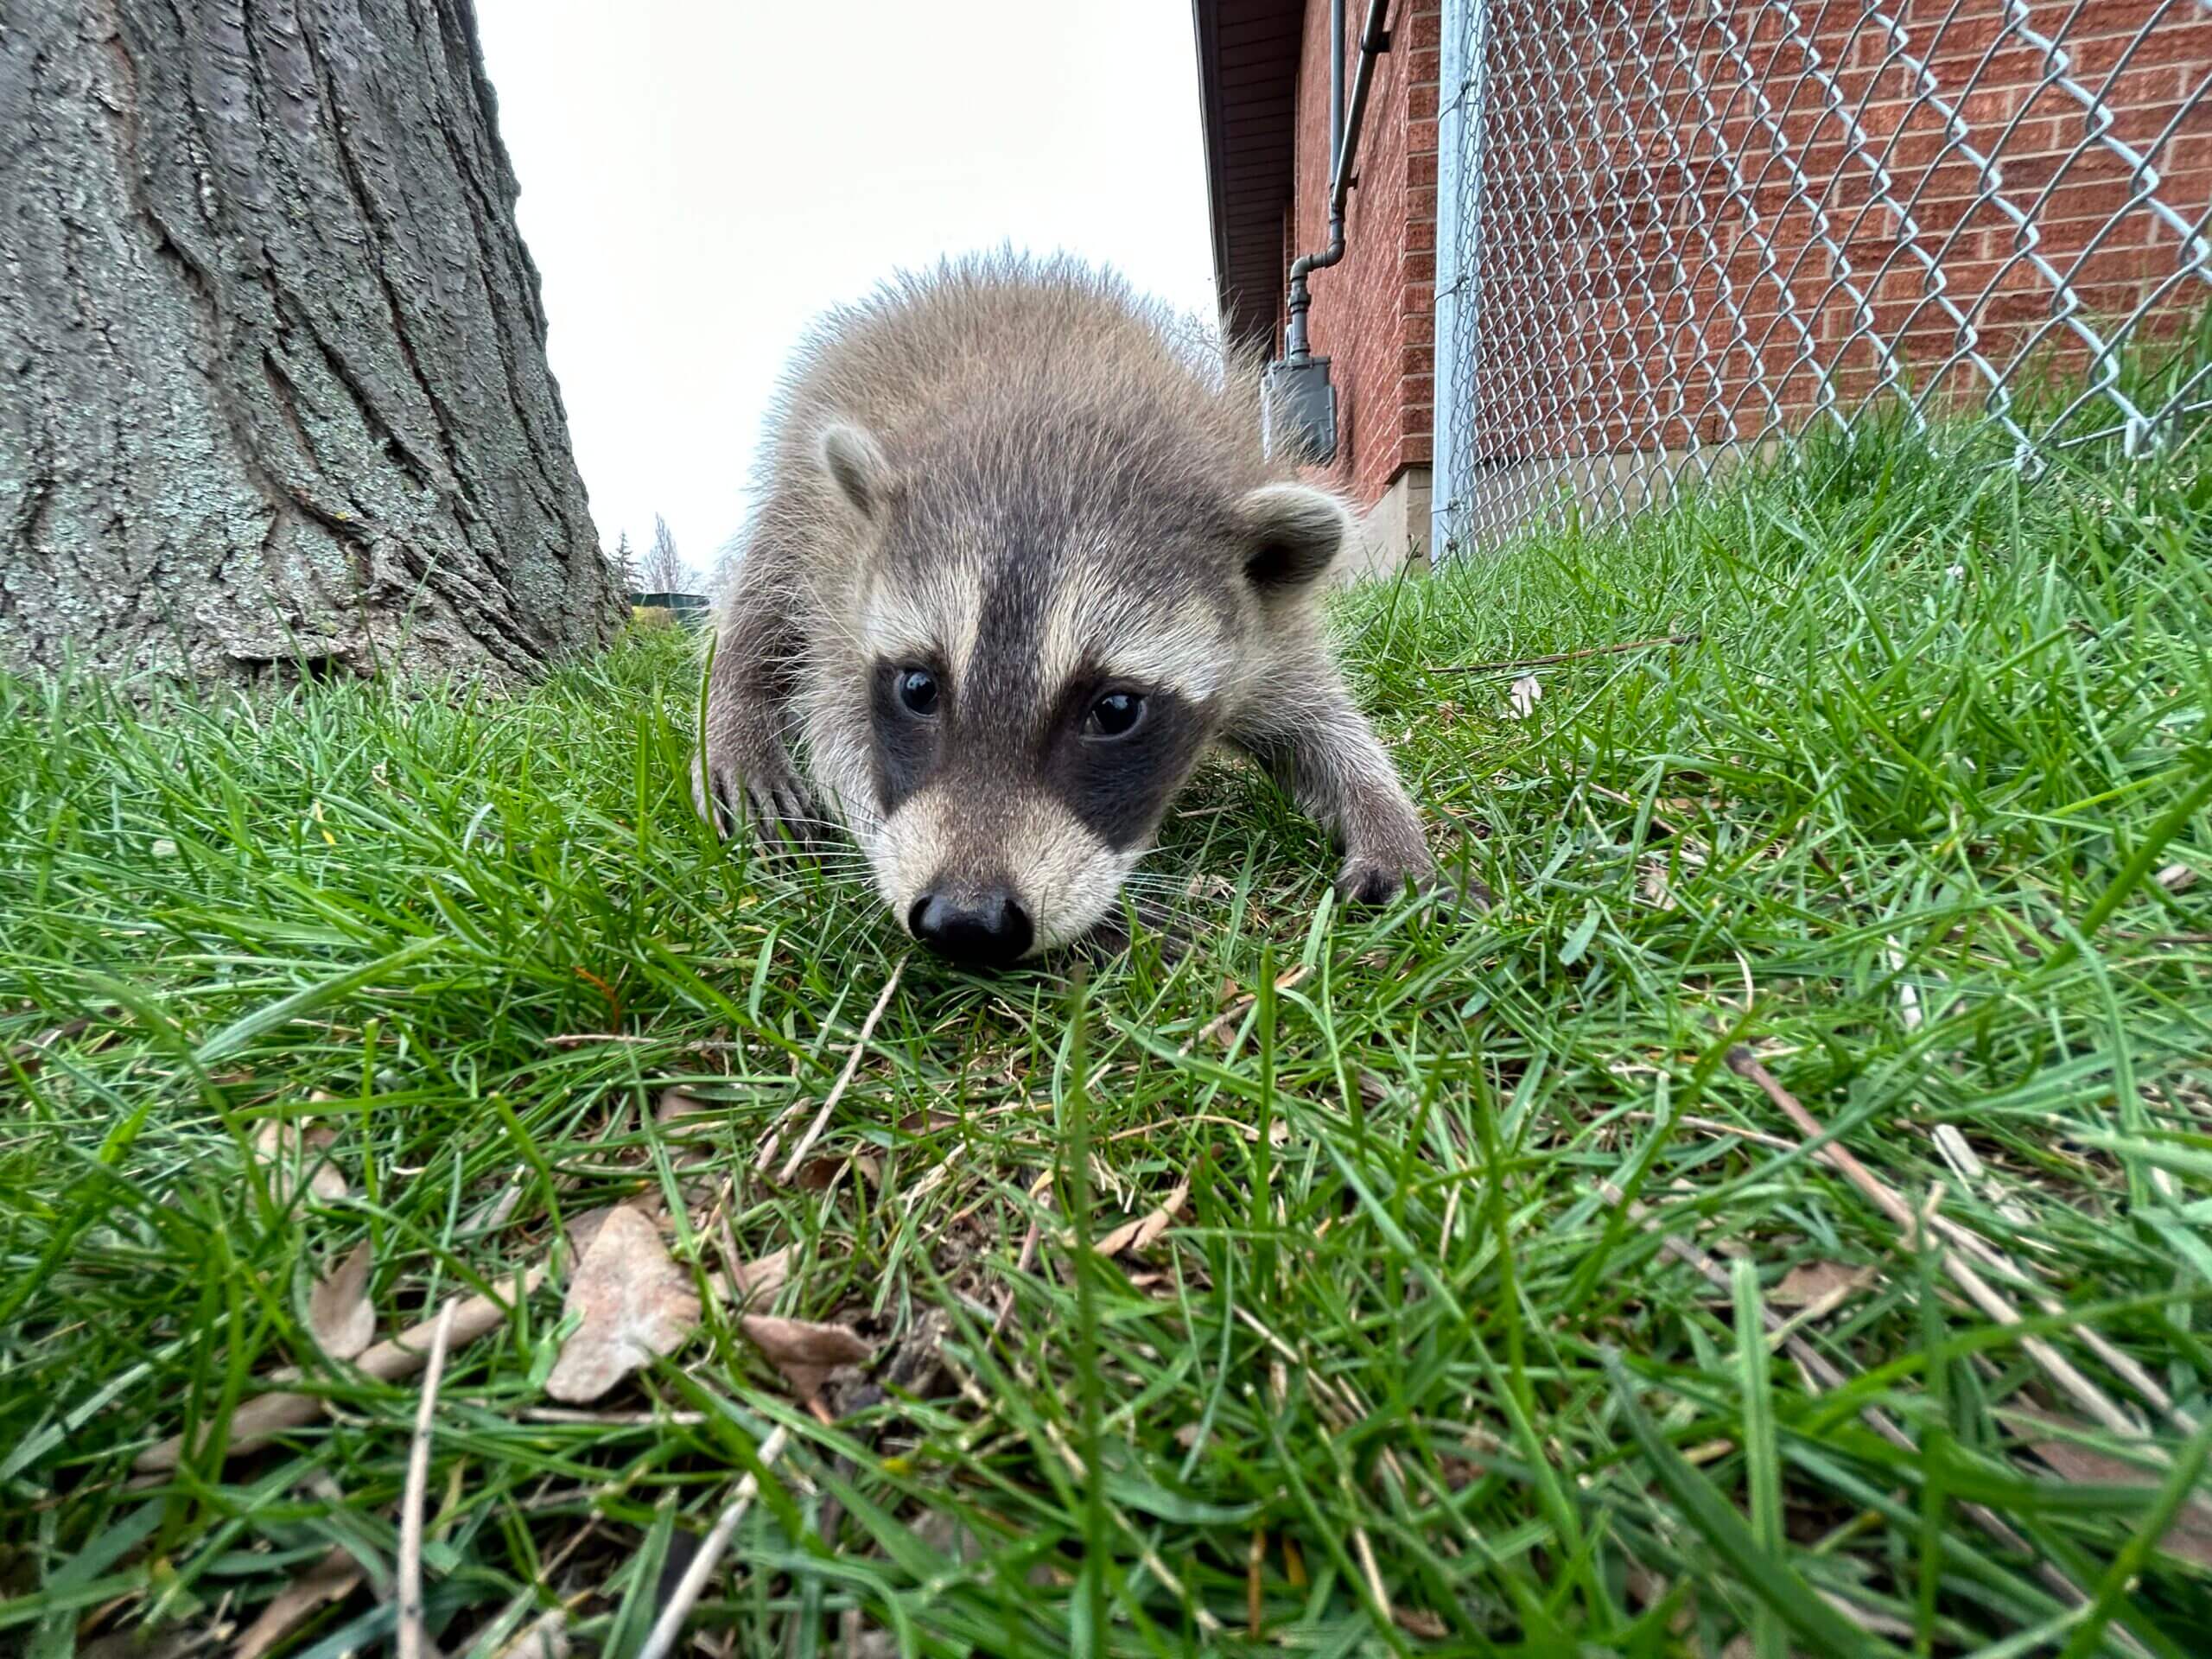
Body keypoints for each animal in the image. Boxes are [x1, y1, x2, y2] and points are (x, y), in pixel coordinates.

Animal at [692, 254, 1435, 969]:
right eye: (918, 688)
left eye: (1116, 709)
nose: (964, 921)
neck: (1055, 414)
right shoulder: (846, 593)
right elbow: (839, 731)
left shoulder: (1268, 624)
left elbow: (1320, 722)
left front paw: (1384, 815)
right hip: (805, 488)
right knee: (764, 592)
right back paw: (736, 713)